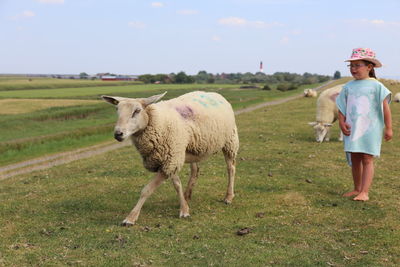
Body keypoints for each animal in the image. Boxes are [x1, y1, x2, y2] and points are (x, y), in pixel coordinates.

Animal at [101, 91, 239, 226]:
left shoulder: (171, 158)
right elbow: (177, 184)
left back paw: (228, 197)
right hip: (192, 148)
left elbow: (147, 190)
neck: (157, 121)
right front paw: (184, 207)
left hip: (230, 141)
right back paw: (187, 195)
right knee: (195, 171)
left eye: (137, 111)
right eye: (117, 110)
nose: (118, 134)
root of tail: (215, 93)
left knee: (231, 168)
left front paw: (130, 218)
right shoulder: (171, 157)